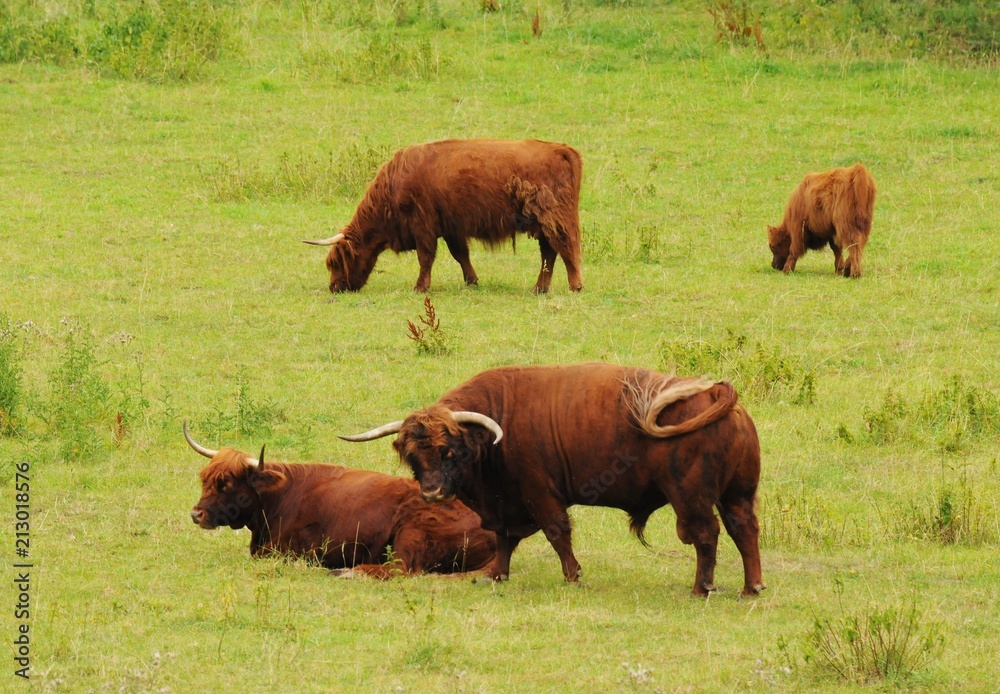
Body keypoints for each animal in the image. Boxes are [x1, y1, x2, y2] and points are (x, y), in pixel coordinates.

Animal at [184, 426, 496, 580]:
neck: (280, 497)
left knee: (399, 569)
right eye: (205, 480)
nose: (196, 514)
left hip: (412, 532)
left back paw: (346, 572)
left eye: (227, 484)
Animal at [304, 139, 584, 294]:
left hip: (553, 219)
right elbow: (460, 254)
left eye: (336, 263)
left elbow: (425, 257)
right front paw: (472, 281)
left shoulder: (423, 225)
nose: (334, 288)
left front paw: (420, 287)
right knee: (549, 253)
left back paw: (575, 285)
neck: (393, 187)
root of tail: (562, 149)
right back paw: (540, 288)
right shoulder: (451, 226)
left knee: (565, 248)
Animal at [340, 364, 760, 600]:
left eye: (449, 451)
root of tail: (716, 394)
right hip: (736, 495)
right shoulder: (504, 505)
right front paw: (496, 575)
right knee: (744, 531)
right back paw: (751, 587)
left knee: (706, 536)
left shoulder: (539, 494)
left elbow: (557, 533)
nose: (432, 492)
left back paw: (701, 588)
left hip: (691, 498)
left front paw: (573, 576)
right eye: (414, 456)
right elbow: (504, 539)